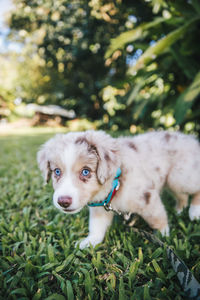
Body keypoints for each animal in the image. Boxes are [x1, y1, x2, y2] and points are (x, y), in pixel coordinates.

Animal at [37, 131, 200, 248]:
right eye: (57, 171)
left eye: (85, 171)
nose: (63, 201)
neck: (116, 182)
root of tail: (192, 139)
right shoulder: (99, 207)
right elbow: (96, 226)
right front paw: (89, 242)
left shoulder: (147, 198)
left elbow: (157, 218)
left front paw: (164, 236)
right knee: (182, 196)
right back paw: (180, 209)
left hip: (179, 177)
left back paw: (194, 212)